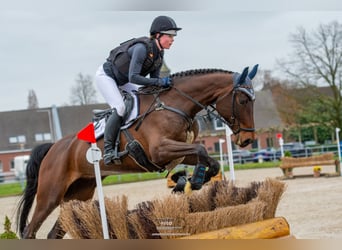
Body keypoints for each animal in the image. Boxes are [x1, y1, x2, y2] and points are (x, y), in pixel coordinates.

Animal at [15, 64, 256, 238]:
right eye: (243, 100)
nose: (247, 140)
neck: (175, 104)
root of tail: (53, 147)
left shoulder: (177, 152)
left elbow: (208, 159)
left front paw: (188, 182)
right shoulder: (160, 151)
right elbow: (201, 149)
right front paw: (191, 181)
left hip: (78, 195)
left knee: (54, 233)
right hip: (50, 195)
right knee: (29, 231)